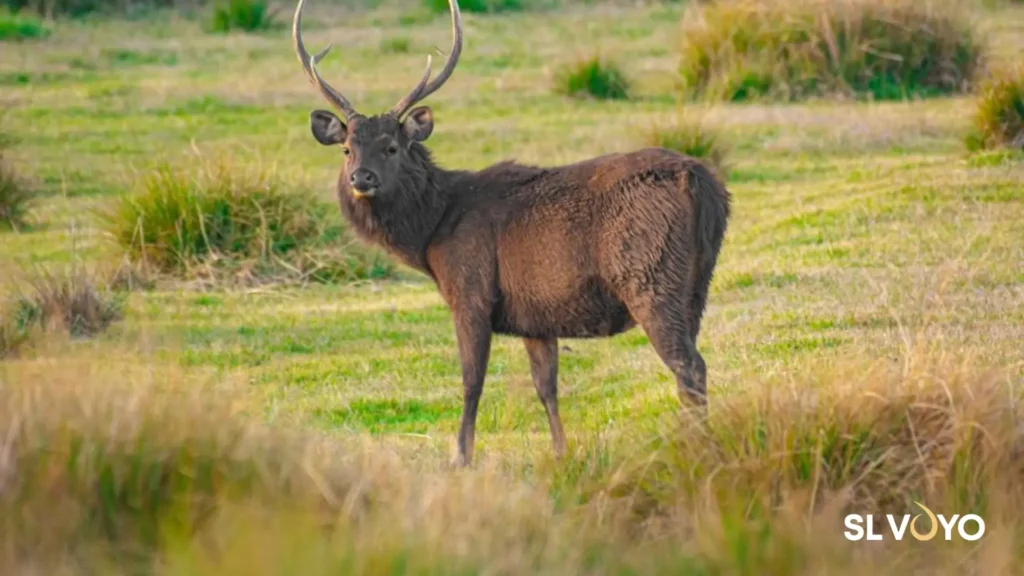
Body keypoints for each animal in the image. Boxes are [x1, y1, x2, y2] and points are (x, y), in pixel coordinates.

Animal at [291, 0, 731, 466]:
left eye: (391, 147)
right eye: (347, 148)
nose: (362, 178)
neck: (433, 232)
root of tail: (703, 185)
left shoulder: (471, 291)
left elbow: (471, 381)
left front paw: (461, 456)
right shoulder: (535, 316)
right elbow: (546, 387)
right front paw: (561, 452)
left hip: (650, 276)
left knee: (689, 365)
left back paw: (697, 447)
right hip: (698, 283)